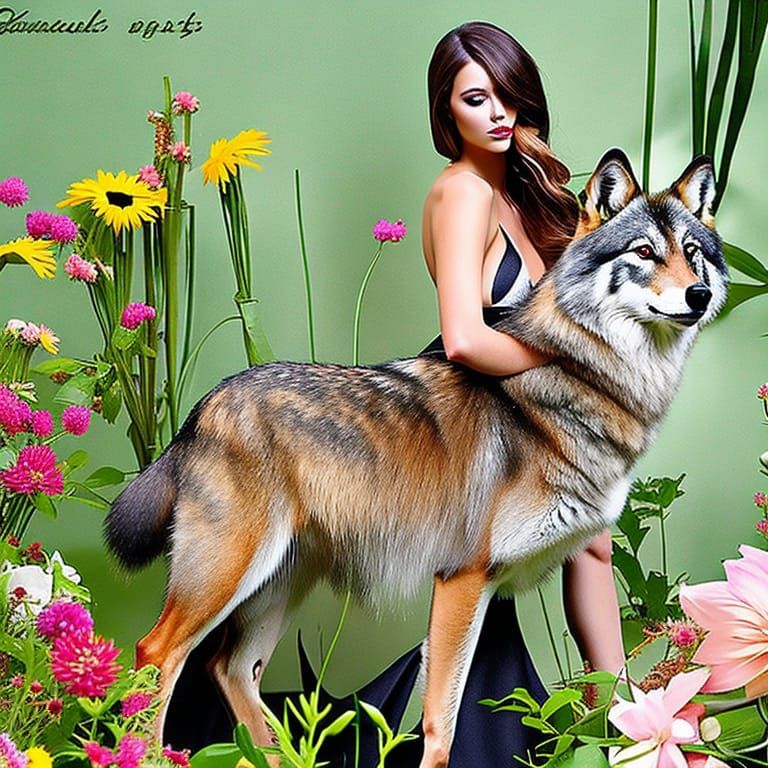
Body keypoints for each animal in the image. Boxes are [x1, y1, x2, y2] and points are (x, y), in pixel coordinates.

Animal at [106, 149, 726, 768]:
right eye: (643, 252)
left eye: (692, 252)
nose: (698, 295)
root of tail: (204, 408)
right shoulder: (461, 579)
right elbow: (441, 721)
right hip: (227, 576)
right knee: (157, 652)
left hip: (278, 585)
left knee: (229, 666)